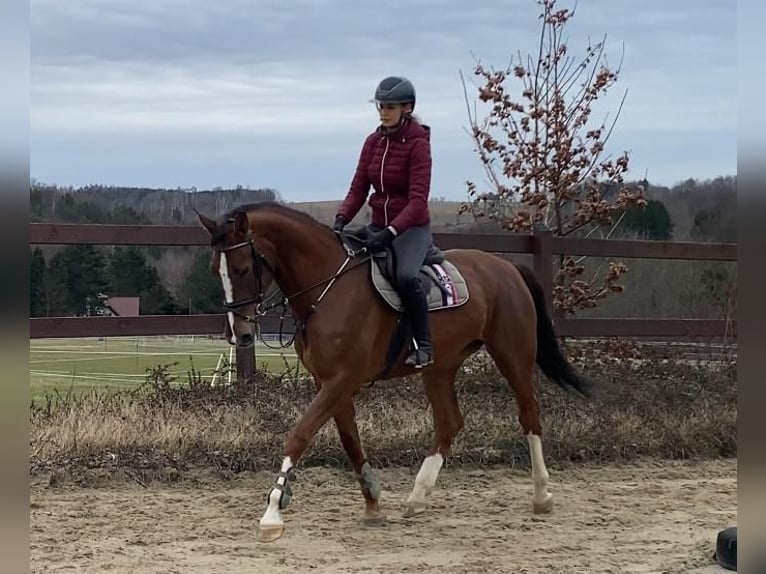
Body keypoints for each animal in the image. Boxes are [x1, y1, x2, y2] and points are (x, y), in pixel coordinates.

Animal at [195, 202, 592, 544]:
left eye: (243, 269)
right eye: (215, 269)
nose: (239, 335)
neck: (329, 288)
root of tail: (507, 267)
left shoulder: (342, 380)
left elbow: (299, 435)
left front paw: (273, 513)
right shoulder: (330, 382)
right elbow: (350, 441)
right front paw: (372, 502)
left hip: (513, 355)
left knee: (529, 416)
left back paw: (541, 495)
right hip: (441, 366)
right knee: (449, 422)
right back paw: (417, 498)